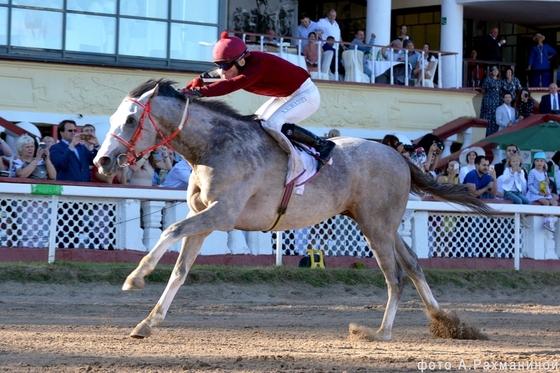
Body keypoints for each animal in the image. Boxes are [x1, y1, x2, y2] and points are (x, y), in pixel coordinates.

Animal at [94, 78, 492, 340]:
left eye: (130, 120)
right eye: (113, 119)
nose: (102, 161)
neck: (213, 146)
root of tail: (398, 154)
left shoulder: (222, 215)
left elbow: (170, 230)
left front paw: (135, 277)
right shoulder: (203, 218)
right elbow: (180, 270)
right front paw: (147, 322)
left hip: (376, 226)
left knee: (395, 276)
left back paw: (381, 332)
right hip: (380, 223)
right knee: (412, 265)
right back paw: (447, 321)